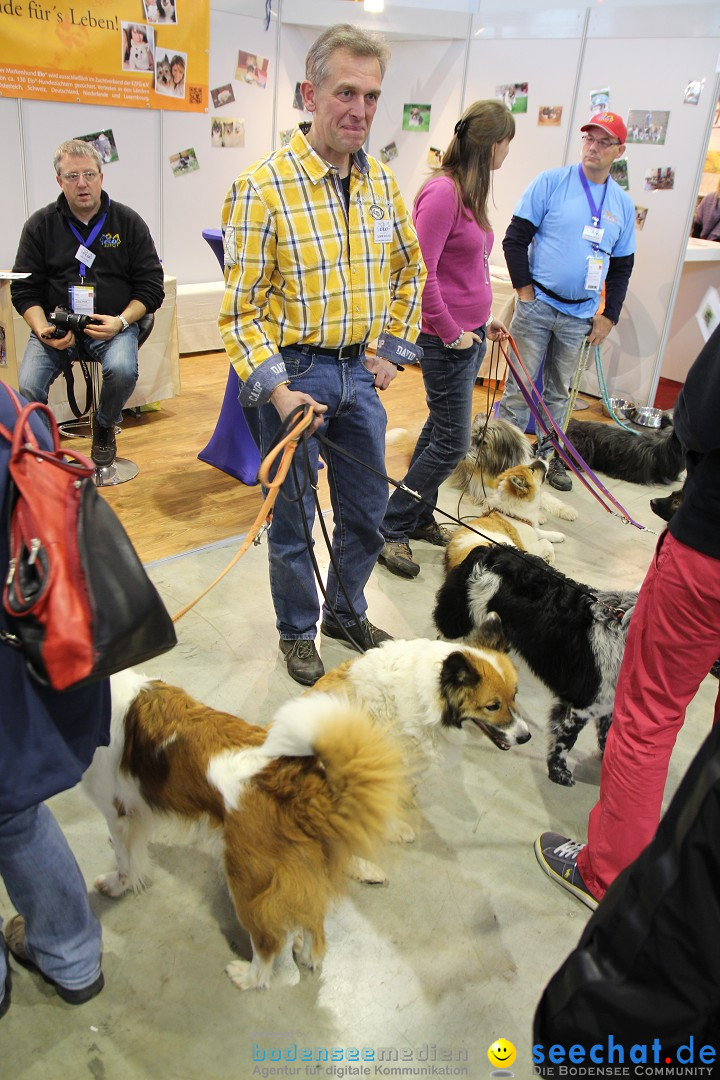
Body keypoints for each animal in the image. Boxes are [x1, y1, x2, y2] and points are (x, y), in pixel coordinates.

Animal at [81, 669, 408, 989]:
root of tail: (294, 784)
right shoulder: (135, 810)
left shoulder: (117, 811)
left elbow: (126, 862)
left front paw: (116, 886)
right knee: (314, 922)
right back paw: (307, 955)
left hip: (246, 881)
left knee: (269, 943)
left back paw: (247, 978)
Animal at [433, 548, 634, 786]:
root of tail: (491, 550)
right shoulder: (580, 704)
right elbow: (565, 741)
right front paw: (559, 772)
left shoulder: (607, 704)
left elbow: (606, 736)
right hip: (461, 616)